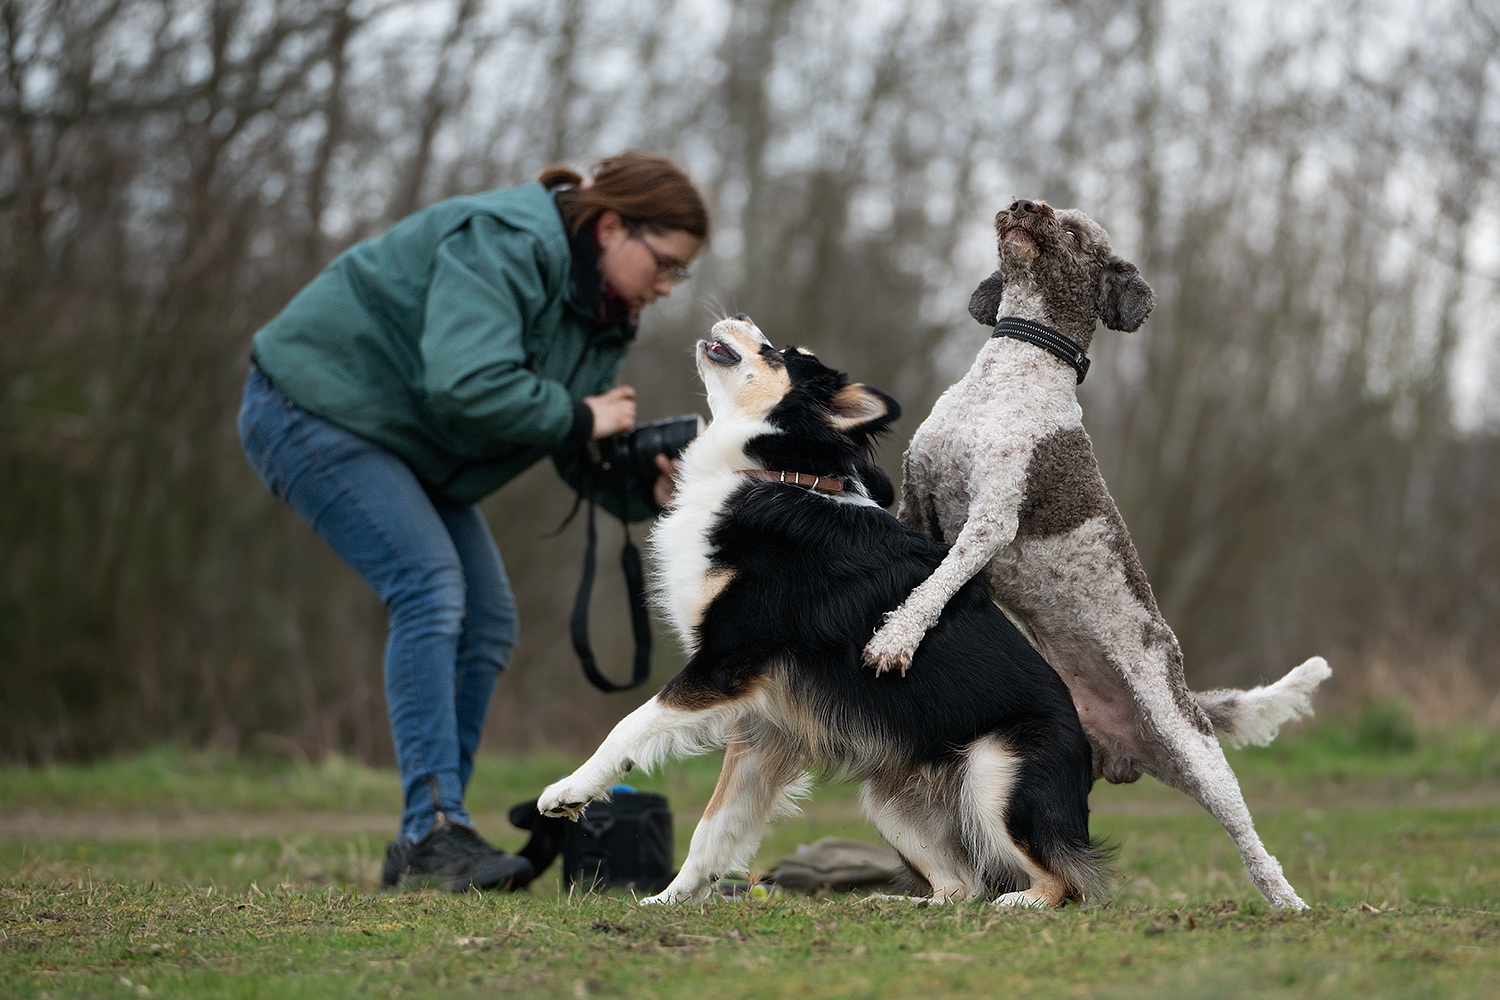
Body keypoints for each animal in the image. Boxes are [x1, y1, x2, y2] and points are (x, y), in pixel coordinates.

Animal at [540, 319, 1104, 905]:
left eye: (778, 354)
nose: (738, 318)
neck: (781, 475)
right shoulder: (765, 722)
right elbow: (715, 825)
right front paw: (668, 901)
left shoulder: (726, 664)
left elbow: (630, 726)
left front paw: (568, 791)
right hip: (889, 797)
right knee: (960, 885)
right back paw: (897, 903)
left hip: (996, 772)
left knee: (1064, 881)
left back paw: (1021, 902)